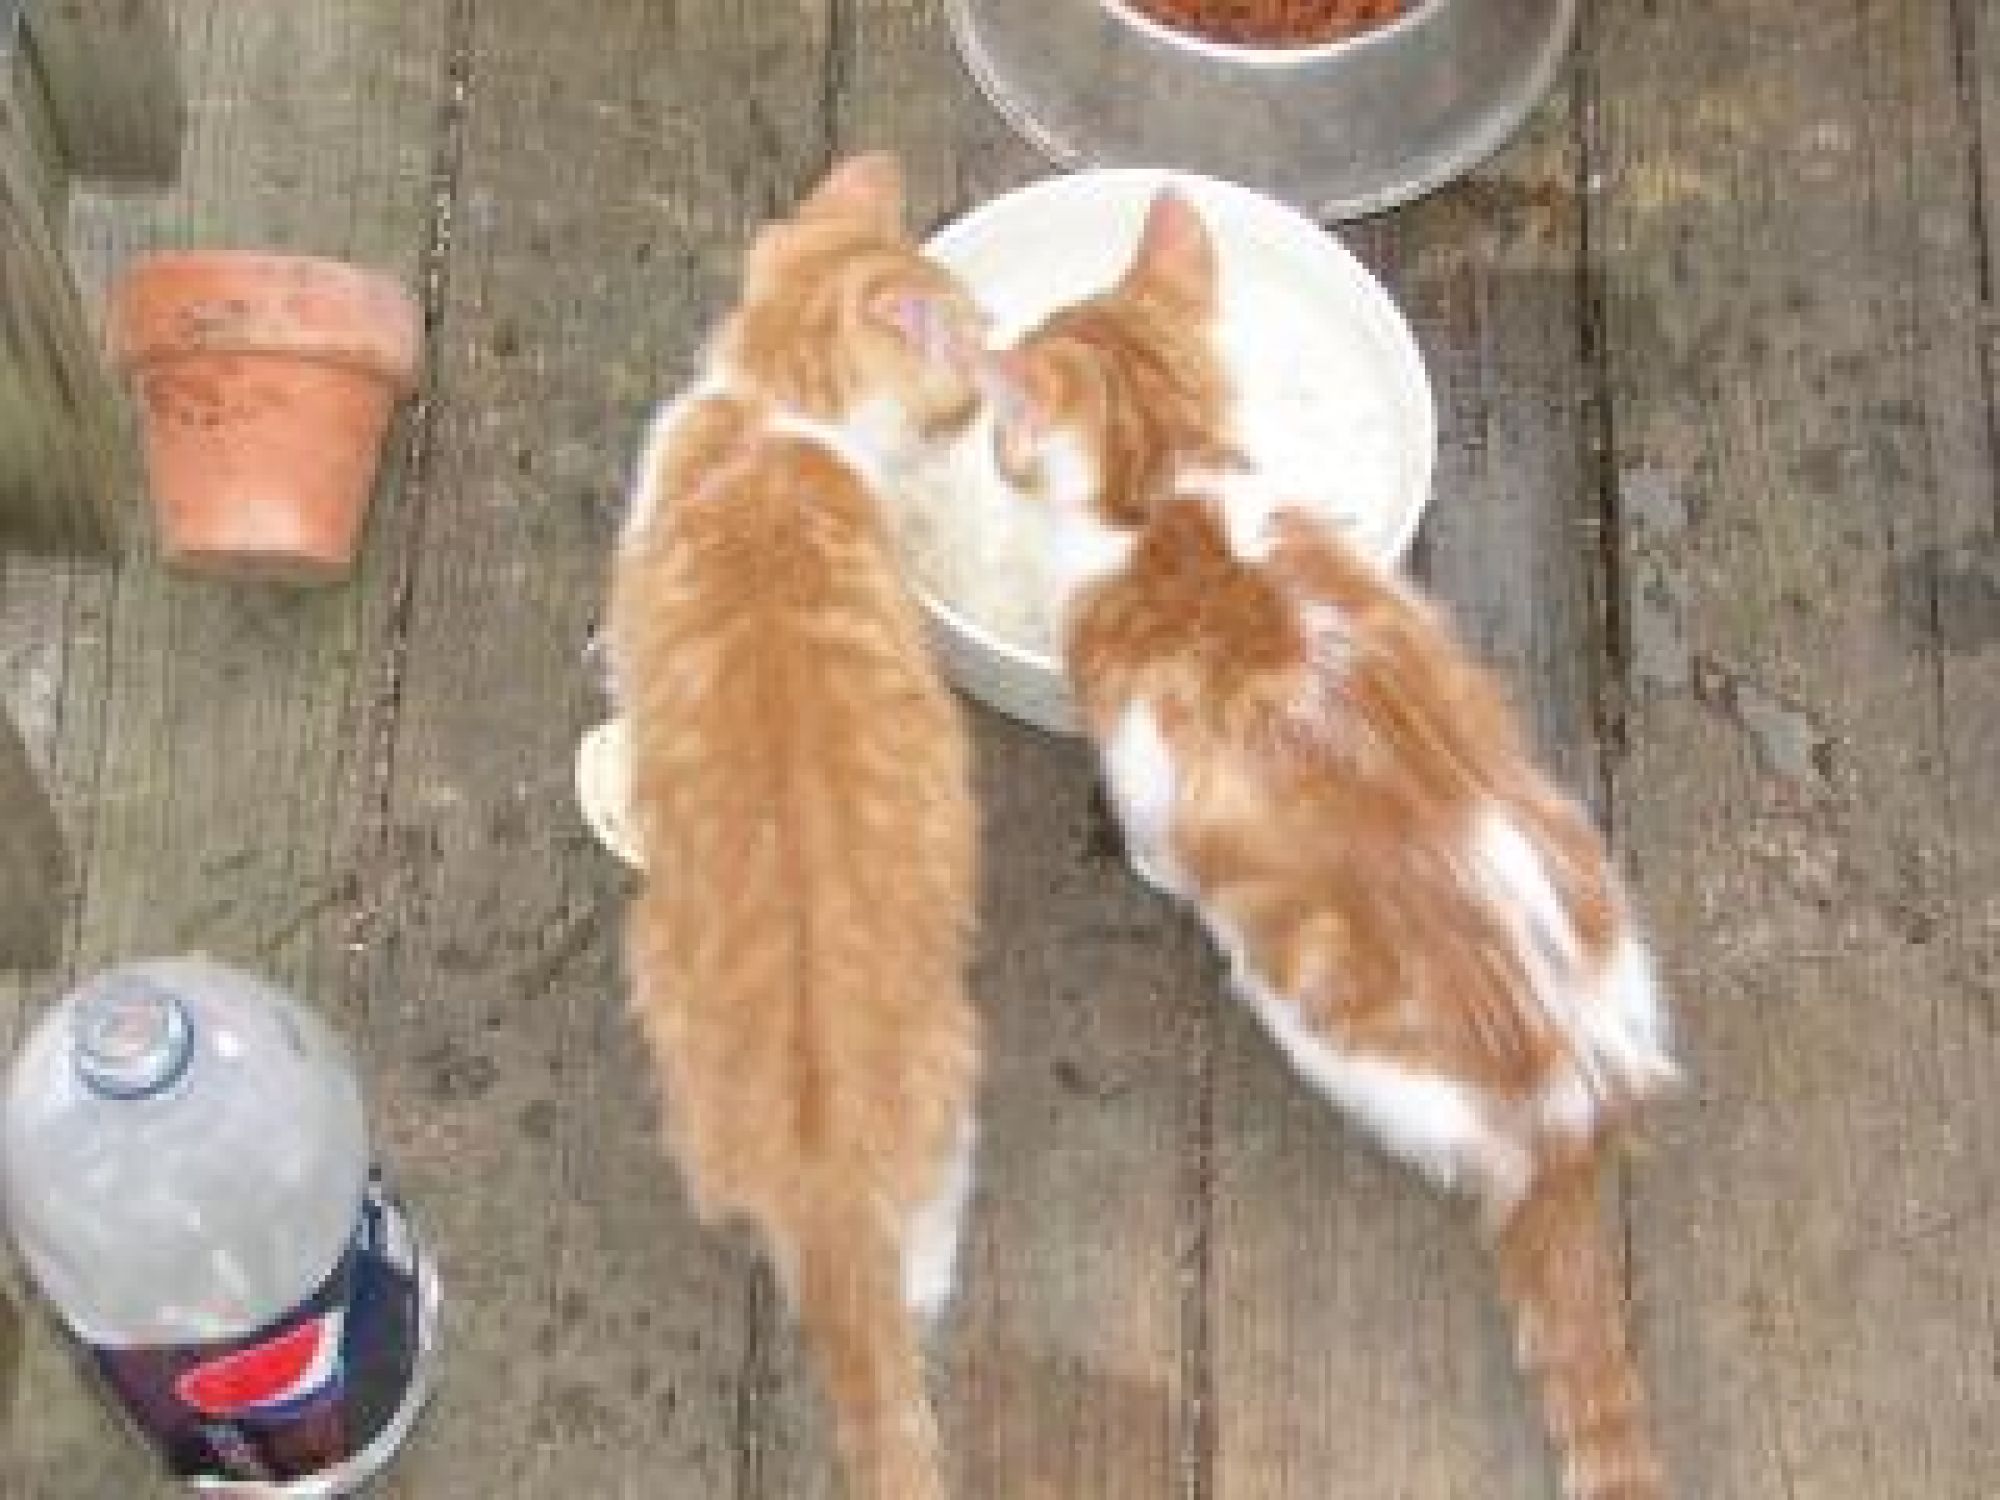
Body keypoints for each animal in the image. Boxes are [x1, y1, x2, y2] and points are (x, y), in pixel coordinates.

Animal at [978, 190, 1677, 1500]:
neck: (1167, 492)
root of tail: (1574, 1110)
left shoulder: (1144, 765)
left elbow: (1151, 832)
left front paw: (1147, 866)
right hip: (1592, 870)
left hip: (1323, 1020)